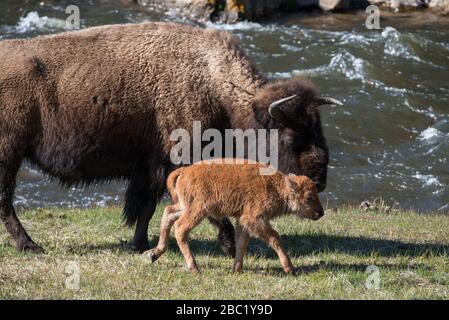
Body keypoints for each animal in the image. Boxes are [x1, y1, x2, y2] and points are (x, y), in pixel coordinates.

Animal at [0, 21, 340, 254]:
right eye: (290, 139)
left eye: (319, 129)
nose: (320, 180)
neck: (213, 85)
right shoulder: (177, 163)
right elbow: (198, 206)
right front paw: (228, 246)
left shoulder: (151, 169)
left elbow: (146, 206)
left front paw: (139, 243)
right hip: (9, 153)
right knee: (6, 201)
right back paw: (29, 245)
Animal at [147, 159, 322, 272]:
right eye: (308, 197)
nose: (320, 212)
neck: (276, 186)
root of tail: (185, 171)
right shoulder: (255, 219)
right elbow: (275, 238)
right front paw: (289, 268)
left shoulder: (243, 221)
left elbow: (242, 242)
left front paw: (236, 269)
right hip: (197, 211)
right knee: (180, 228)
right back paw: (194, 267)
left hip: (185, 206)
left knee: (168, 213)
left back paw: (154, 254)